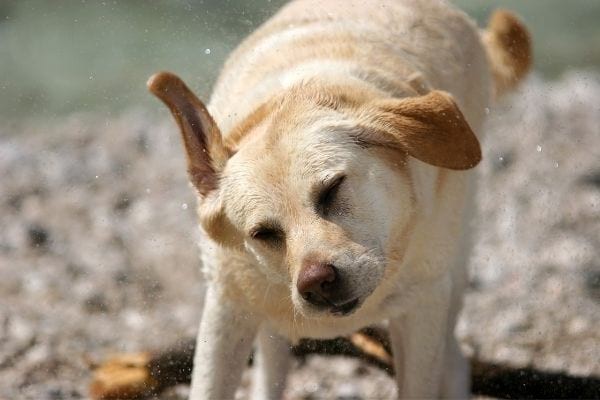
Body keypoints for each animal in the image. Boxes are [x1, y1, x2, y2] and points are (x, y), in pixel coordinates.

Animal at [146, 1, 528, 398]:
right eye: (263, 234)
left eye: (332, 189)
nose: (316, 282)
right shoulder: (227, 308)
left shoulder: (423, 306)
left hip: (454, 265)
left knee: (455, 360)